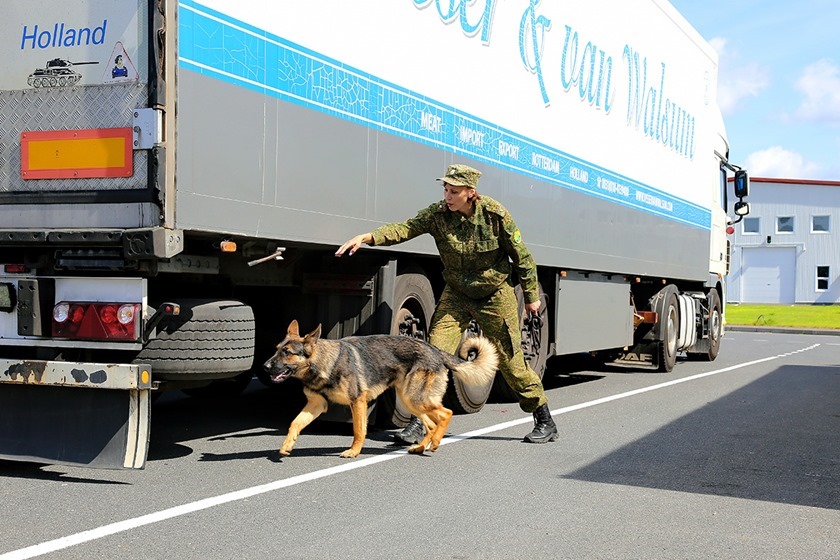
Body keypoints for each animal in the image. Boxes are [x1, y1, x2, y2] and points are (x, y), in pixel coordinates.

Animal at [264, 322, 498, 458]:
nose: (265, 367)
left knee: (445, 414)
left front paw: (354, 451)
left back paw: (435, 443)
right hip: (410, 400)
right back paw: (421, 447)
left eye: (287, 352)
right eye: (276, 349)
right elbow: (294, 424)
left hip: (415, 399)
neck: (324, 362)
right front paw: (287, 446)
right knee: (431, 424)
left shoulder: (357, 402)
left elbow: (358, 431)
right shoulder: (316, 405)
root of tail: (436, 350)